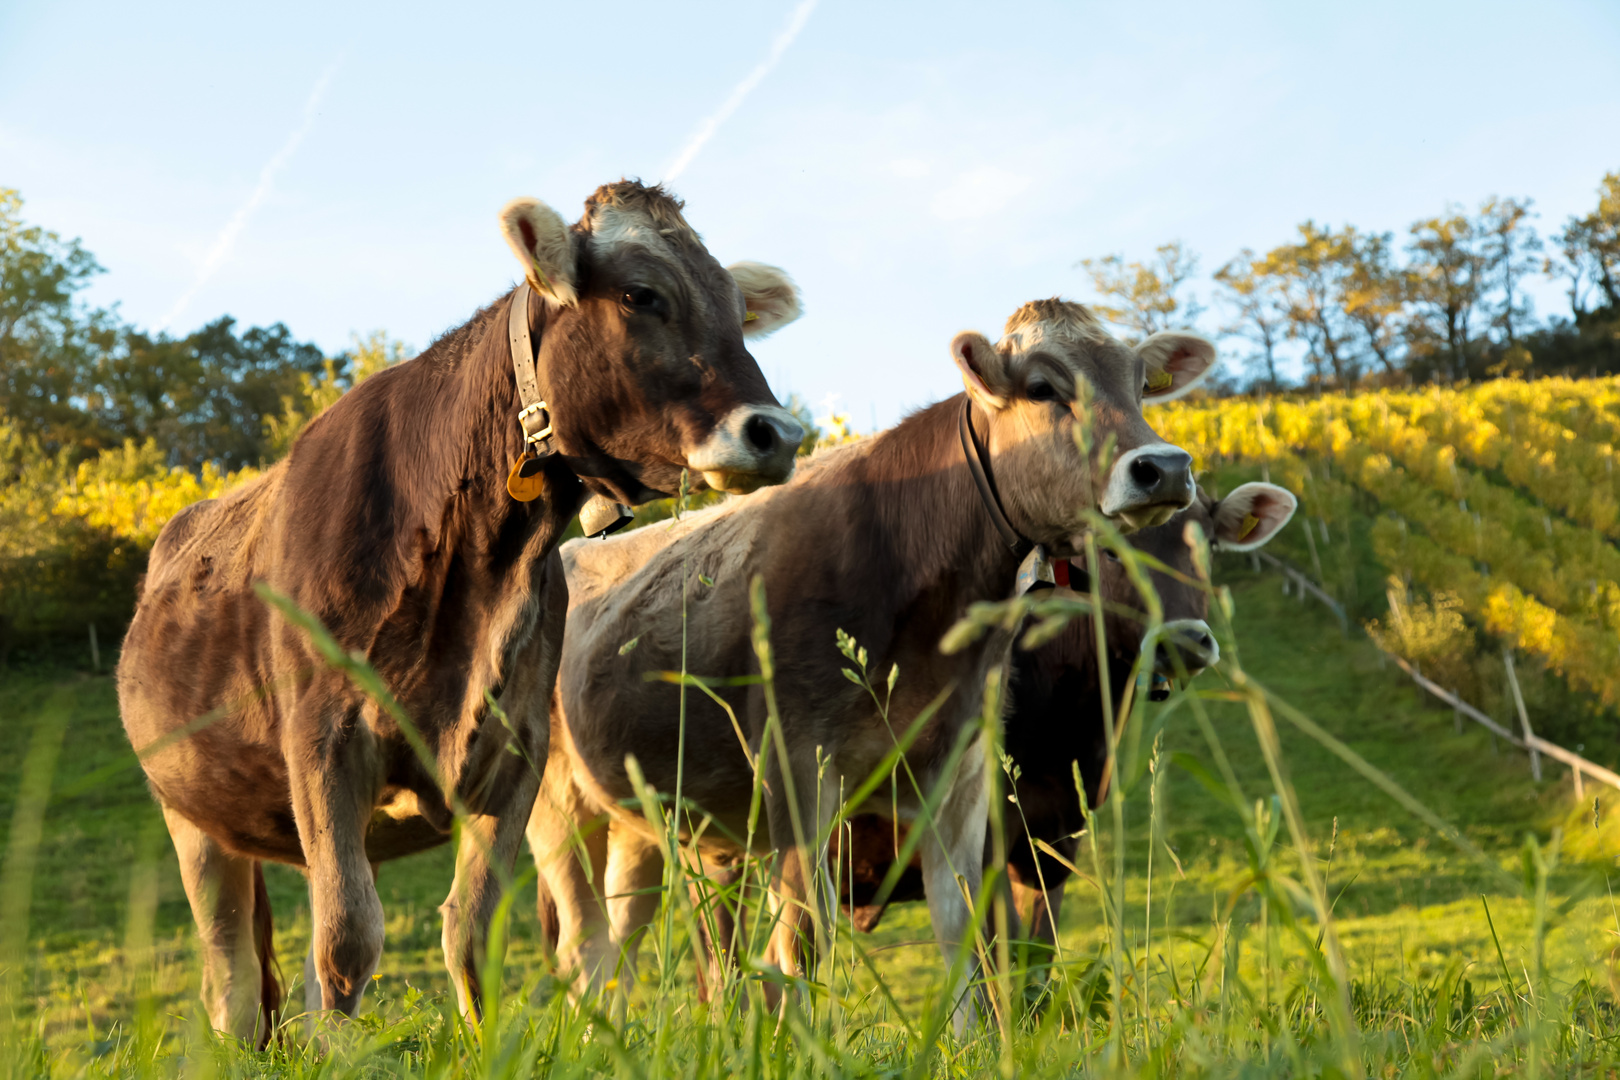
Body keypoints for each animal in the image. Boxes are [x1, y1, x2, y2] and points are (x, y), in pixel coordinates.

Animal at [118, 181, 810, 1042]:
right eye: (640, 295)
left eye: (735, 307)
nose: (776, 432)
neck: (478, 572)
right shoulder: (323, 738)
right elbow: (349, 937)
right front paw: (341, 1052)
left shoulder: (516, 751)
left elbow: (471, 935)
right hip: (190, 818)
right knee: (234, 977)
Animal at [524, 297, 1211, 1029]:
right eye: (1042, 388)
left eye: (1139, 384)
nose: (1164, 466)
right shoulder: (797, 763)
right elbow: (802, 936)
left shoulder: (962, 771)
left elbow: (960, 927)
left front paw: (966, 1041)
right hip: (558, 811)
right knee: (584, 947)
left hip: (643, 824)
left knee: (622, 940)